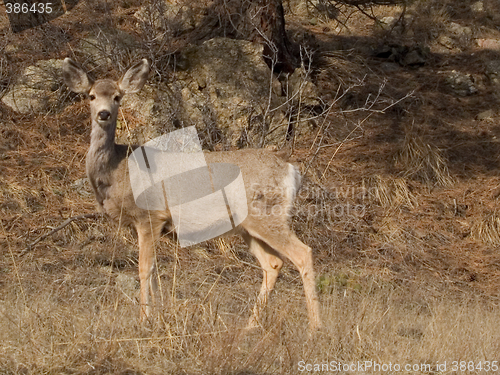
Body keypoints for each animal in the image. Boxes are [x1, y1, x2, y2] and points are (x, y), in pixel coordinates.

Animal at [62, 57, 322, 330]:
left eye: (117, 96)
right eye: (91, 96)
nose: (104, 113)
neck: (116, 170)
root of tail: (290, 168)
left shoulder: (150, 216)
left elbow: (144, 269)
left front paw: (144, 319)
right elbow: (154, 272)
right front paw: (158, 316)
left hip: (267, 214)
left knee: (303, 254)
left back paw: (315, 328)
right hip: (246, 225)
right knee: (273, 263)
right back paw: (249, 327)